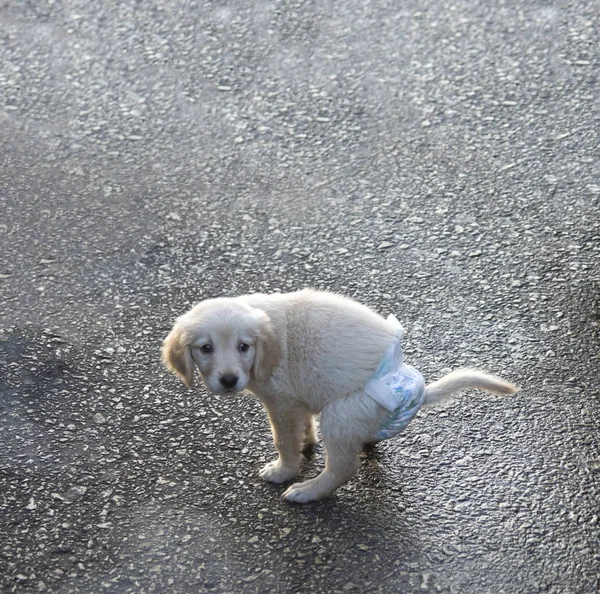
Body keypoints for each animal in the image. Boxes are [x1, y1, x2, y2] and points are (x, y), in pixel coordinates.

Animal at [162, 290, 516, 502]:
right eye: (205, 348)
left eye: (243, 346)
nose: (229, 380)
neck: (268, 349)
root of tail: (416, 392)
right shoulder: (299, 401)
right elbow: (304, 427)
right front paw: (307, 443)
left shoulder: (282, 404)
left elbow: (283, 441)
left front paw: (283, 470)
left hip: (340, 413)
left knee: (344, 467)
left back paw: (307, 491)